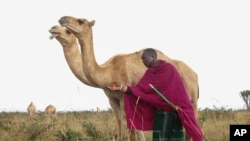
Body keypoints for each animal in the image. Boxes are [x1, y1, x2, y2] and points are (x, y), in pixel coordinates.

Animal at [57, 16, 199, 140]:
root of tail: (195, 74)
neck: (108, 72)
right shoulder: (112, 99)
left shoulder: (124, 98)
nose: (60, 21)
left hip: (191, 100)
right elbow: (120, 128)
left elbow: (132, 131)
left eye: (80, 21)